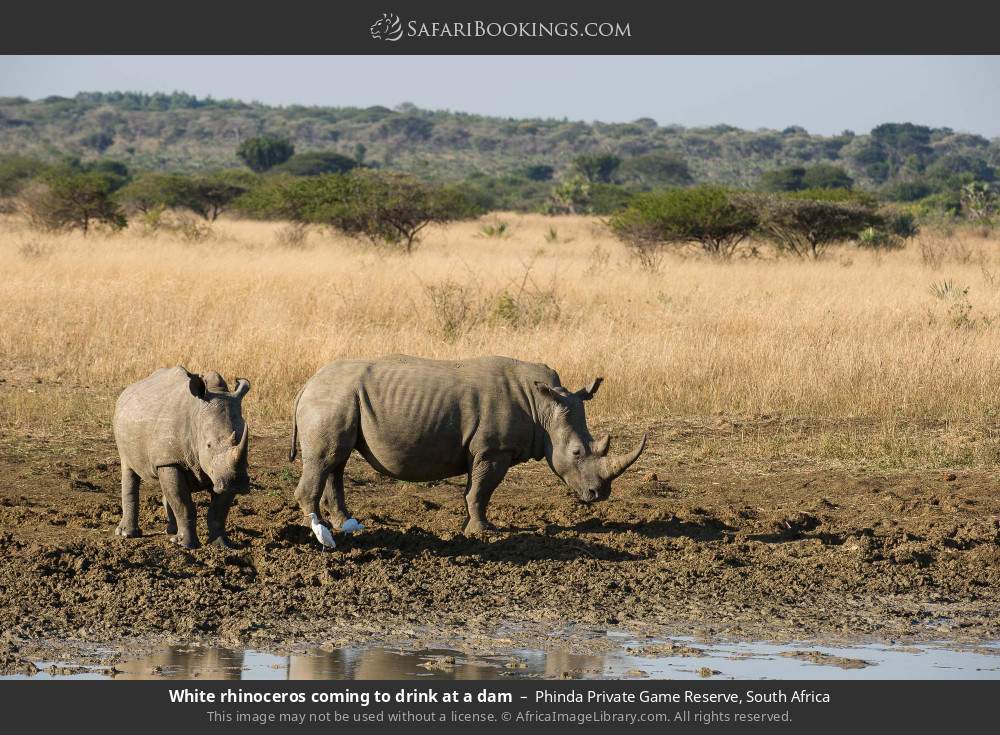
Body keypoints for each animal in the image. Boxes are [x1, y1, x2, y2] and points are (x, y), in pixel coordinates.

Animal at [112, 366, 251, 548]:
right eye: (208, 445)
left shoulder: (223, 473)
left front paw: (221, 545)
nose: (239, 483)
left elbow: (218, 511)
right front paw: (185, 545)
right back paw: (126, 534)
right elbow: (183, 504)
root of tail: (127, 390)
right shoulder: (171, 461)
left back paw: (171, 531)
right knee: (128, 469)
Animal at [289, 355, 647, 537]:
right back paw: (319, 530)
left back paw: (345, 524)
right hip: (332, 399)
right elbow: (481, 490)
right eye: (576, 453)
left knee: (336, 461)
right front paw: (483, 531)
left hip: (341, 398)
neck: (544, 406)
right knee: (326, 459)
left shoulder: (486, 450)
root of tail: (306, 384)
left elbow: (475, 490)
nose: (599, 495)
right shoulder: (493, 450)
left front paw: (473, 526)